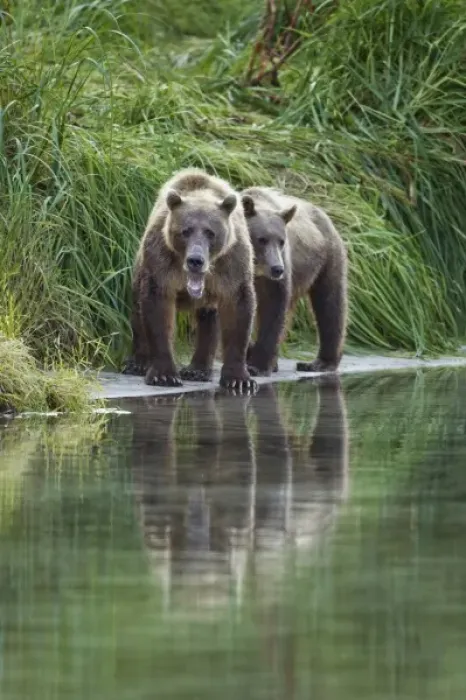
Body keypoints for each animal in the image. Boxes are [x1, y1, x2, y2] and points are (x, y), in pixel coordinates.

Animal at [122, 168, 257, 391]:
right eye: (185, 231)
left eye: (211, 232)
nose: (195, 260)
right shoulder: (161, 262)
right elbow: (157, 310)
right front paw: (164, 375)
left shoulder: (233, 265)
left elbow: (238, 311)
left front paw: (239, 379)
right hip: (140, 268)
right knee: (137, 311)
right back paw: (137, 363)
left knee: (209, 319)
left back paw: (198, 369)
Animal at [240, 186, 348, 375]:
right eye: (262, 239)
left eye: (281, 241)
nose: (277, 268)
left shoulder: (278, 276)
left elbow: (274, 308)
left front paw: (257, 365)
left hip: (327, 258)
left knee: (330, 304)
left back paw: (320, 363)